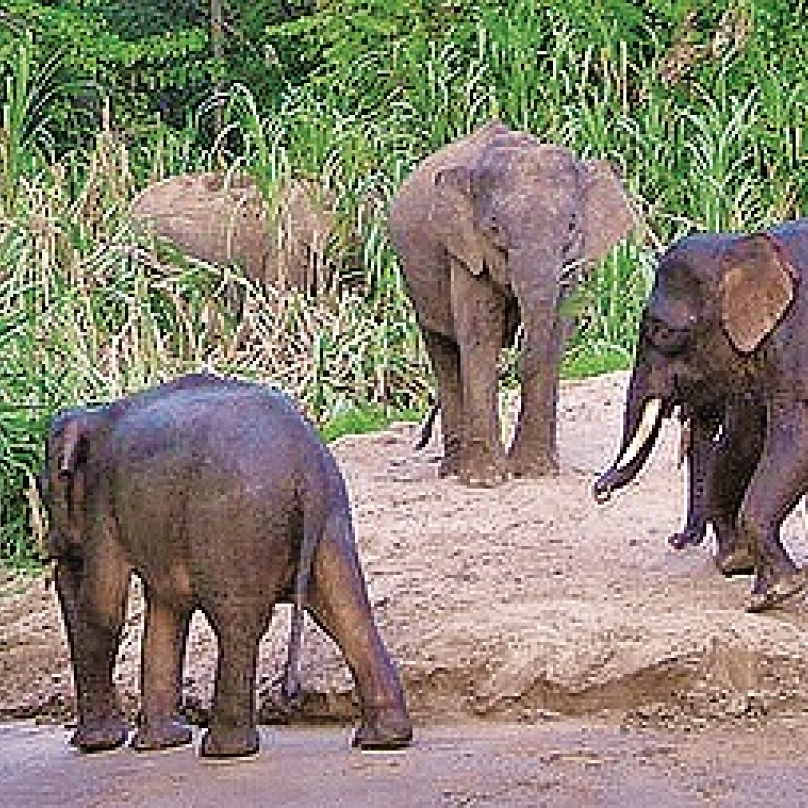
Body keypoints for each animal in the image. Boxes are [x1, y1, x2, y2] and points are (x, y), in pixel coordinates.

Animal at [41, 372, 414, 756]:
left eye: (46, 490)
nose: (53, 552)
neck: (95, 415)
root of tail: (306, 461)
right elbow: (167, 608)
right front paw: (158, 744)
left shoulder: (102, 502)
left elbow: (102, 609)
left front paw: (102, 745)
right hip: (328, 520)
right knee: (345, 608)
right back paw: (382, 739)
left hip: (231, 517)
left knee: (237, 622)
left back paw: (223, 749)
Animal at [388, 120, 636, 486]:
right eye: (493, 227)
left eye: (572, 224)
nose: (512, 363)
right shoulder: (465, 251)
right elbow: (480, 335)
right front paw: (484, 480)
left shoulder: (570, 266)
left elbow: (556, 334)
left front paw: (534, 472)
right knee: (444, 351)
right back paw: (452, 470)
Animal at [592, 221, 808, 612]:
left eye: (663, 332)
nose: (599, 493)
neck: (740, 247)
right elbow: (745, 439)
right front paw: (740, 566)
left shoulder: (795, 339)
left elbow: (794, 439)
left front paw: (770, 596)